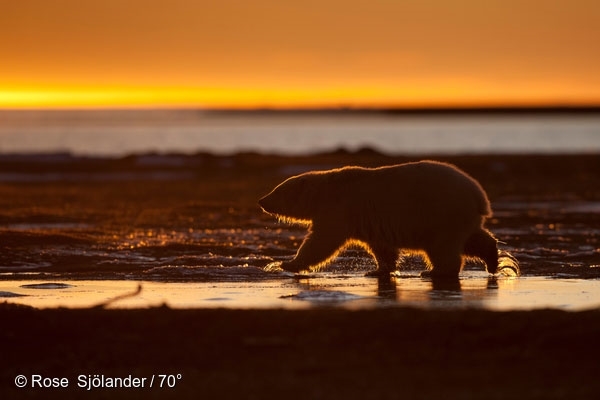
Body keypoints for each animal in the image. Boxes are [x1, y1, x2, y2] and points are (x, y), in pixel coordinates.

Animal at [260, 161, 500, 280]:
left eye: (276, 190)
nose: (262, 200)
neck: (325, 191)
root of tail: (478, 194)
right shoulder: (369, 220)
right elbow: (382, 247)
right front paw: (378, 270)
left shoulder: (339, 209)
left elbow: (322, 240)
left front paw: (287, 263)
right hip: (459, 217)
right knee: (474, 239)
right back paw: (493, 259)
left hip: (441, 213)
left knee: (443, 247)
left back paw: (435, 271)